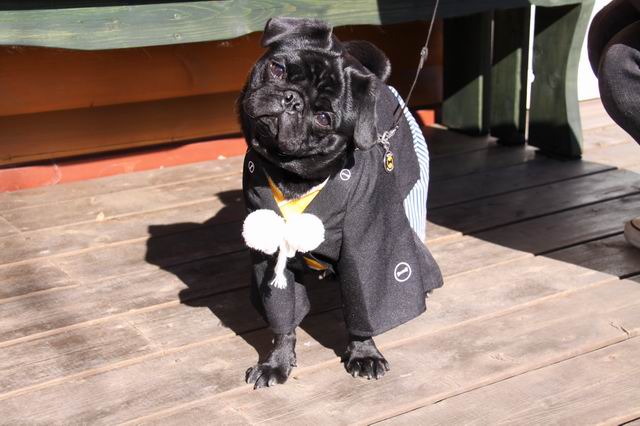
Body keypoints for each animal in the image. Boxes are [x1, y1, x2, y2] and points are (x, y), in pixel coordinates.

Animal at [238, 16, 443, 389]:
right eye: (277, 68)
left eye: (323, 118)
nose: (292, 99)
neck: (295, 177)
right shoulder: (271, 252)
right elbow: (283, 318)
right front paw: (276, 362)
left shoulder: (367, 243)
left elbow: (366, 303)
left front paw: (364, 353)